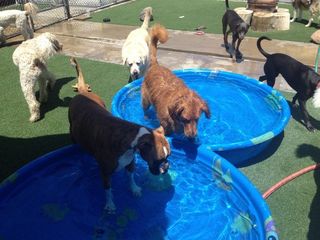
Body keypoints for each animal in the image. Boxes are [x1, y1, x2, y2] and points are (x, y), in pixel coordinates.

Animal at [68, 57, 170, 213]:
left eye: (168, 157)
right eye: (158, 159)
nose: (166, 167)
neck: (131, 140)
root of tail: (82, 92)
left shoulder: (130, 163)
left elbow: (131, 178)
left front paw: (134, 189)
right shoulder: (105, 172)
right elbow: (108, 190)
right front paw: (110, 204)